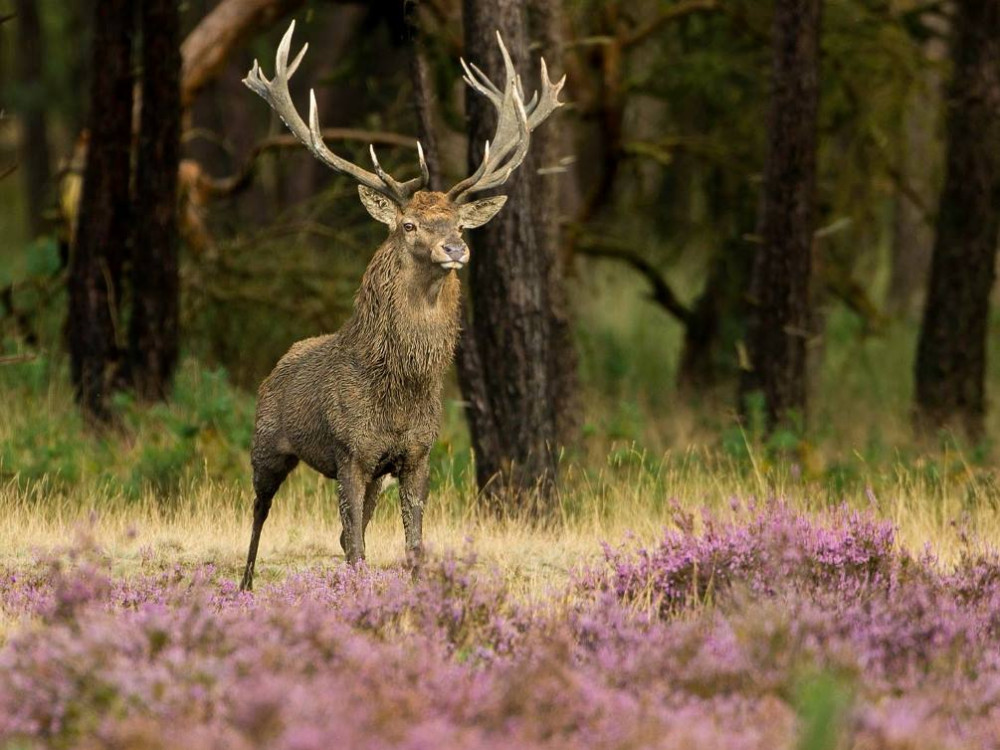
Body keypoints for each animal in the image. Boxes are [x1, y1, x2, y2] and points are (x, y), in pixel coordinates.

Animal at [235, 20, 564, 592]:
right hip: (267, 445)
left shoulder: (415, 456)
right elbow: (356, 548)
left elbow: (408, 544)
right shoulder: (349, 451)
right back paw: (245, 585)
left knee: (342, 527)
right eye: (409, 224)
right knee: (258, 512)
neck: (399, 388)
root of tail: (278, 362)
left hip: (367, 476)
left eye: (457, 224)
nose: (455, 248)